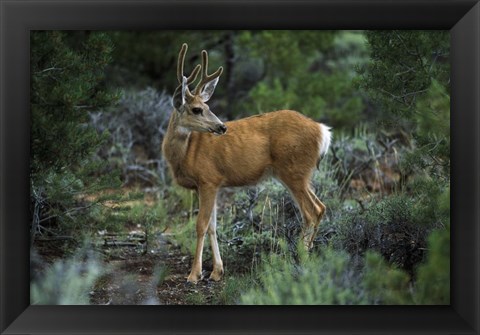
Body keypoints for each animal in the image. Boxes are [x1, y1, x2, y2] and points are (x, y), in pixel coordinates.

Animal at [161, 42, 330, 284]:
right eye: (197, 109)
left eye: (206, 107)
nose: (221, 127)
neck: (185, 154)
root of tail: (323, 131)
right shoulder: (213, 185)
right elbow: (213, 226)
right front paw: (216, 272)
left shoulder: (208, 179)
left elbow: (201, 225)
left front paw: (194, 274)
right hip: (302, 175)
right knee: (321, 207)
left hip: (293, 171)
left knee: (311, 211)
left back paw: (301, 260)